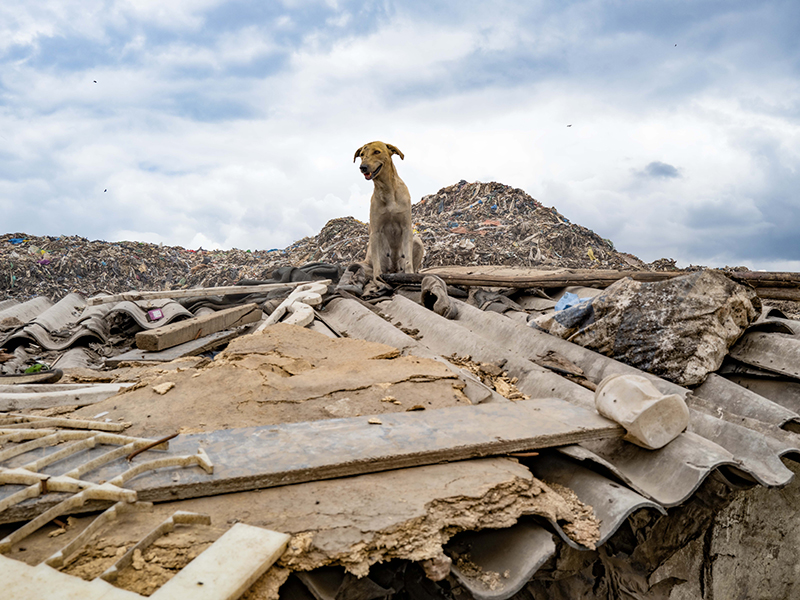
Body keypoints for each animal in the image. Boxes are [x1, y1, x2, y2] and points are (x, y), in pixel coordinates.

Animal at [352, 141, 422, 284]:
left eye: (377, 152)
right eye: (361, 154)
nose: (363, 167)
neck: (387, 189)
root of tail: (393, 269)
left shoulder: (407, 227)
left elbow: (408, 261)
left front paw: (410, 275)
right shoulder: (375, 231)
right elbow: (377, 264)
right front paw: (378, 279)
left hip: (417, 242)